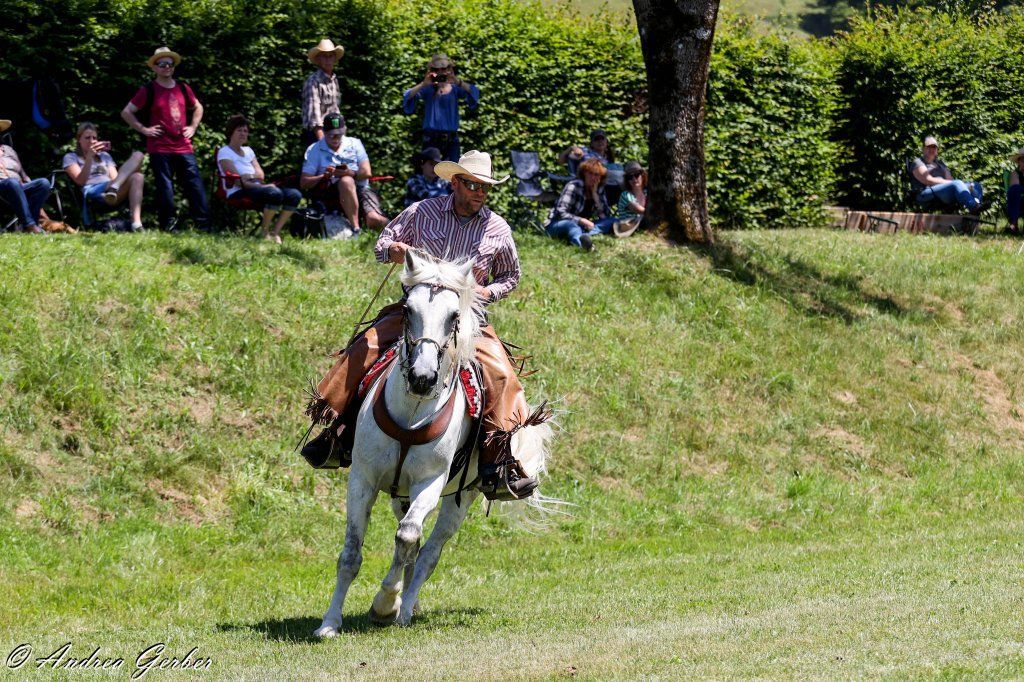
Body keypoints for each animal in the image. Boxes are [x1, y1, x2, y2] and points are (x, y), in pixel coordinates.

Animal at [313, 250, 554, 636]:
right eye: (408, 308)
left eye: (454, 316)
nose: (423, 378)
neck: (411, 414)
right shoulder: (363, 479)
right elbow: (351, 553)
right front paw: (330, 623)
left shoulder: (430, 482)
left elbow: (407, 537)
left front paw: (385, 602)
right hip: (399, 494)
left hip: (462, 497)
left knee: (427, 553)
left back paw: (403, 609)